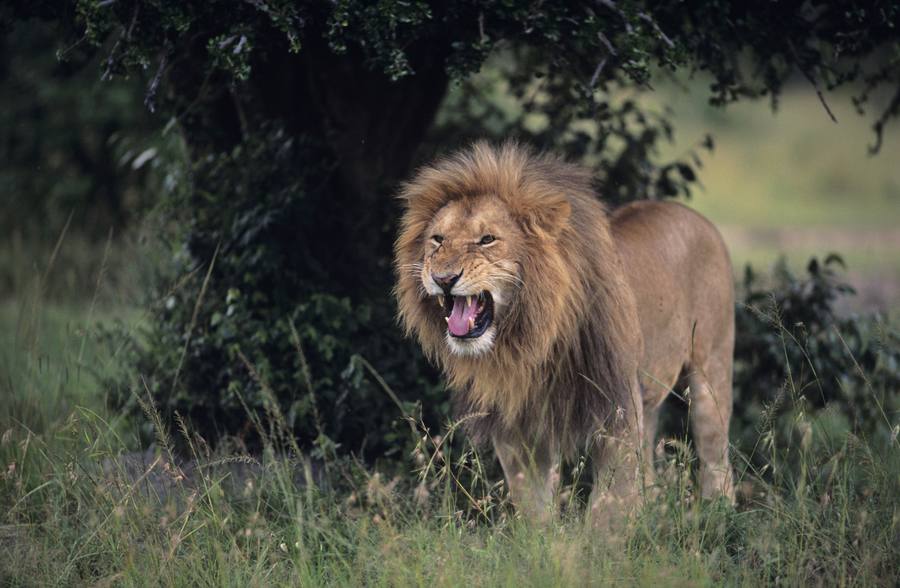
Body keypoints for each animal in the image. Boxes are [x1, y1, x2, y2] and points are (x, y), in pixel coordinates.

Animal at [394, 142, 735, 524]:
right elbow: (533, 506)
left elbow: (609, 505)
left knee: (717, 457)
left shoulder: (617, 410)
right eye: (437, 239)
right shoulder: (518, 429)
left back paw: (721, 515)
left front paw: (602, 538)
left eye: (487, 240)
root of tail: (695, 216)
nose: (443, 278)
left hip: (712, 370)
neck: (531, 338)